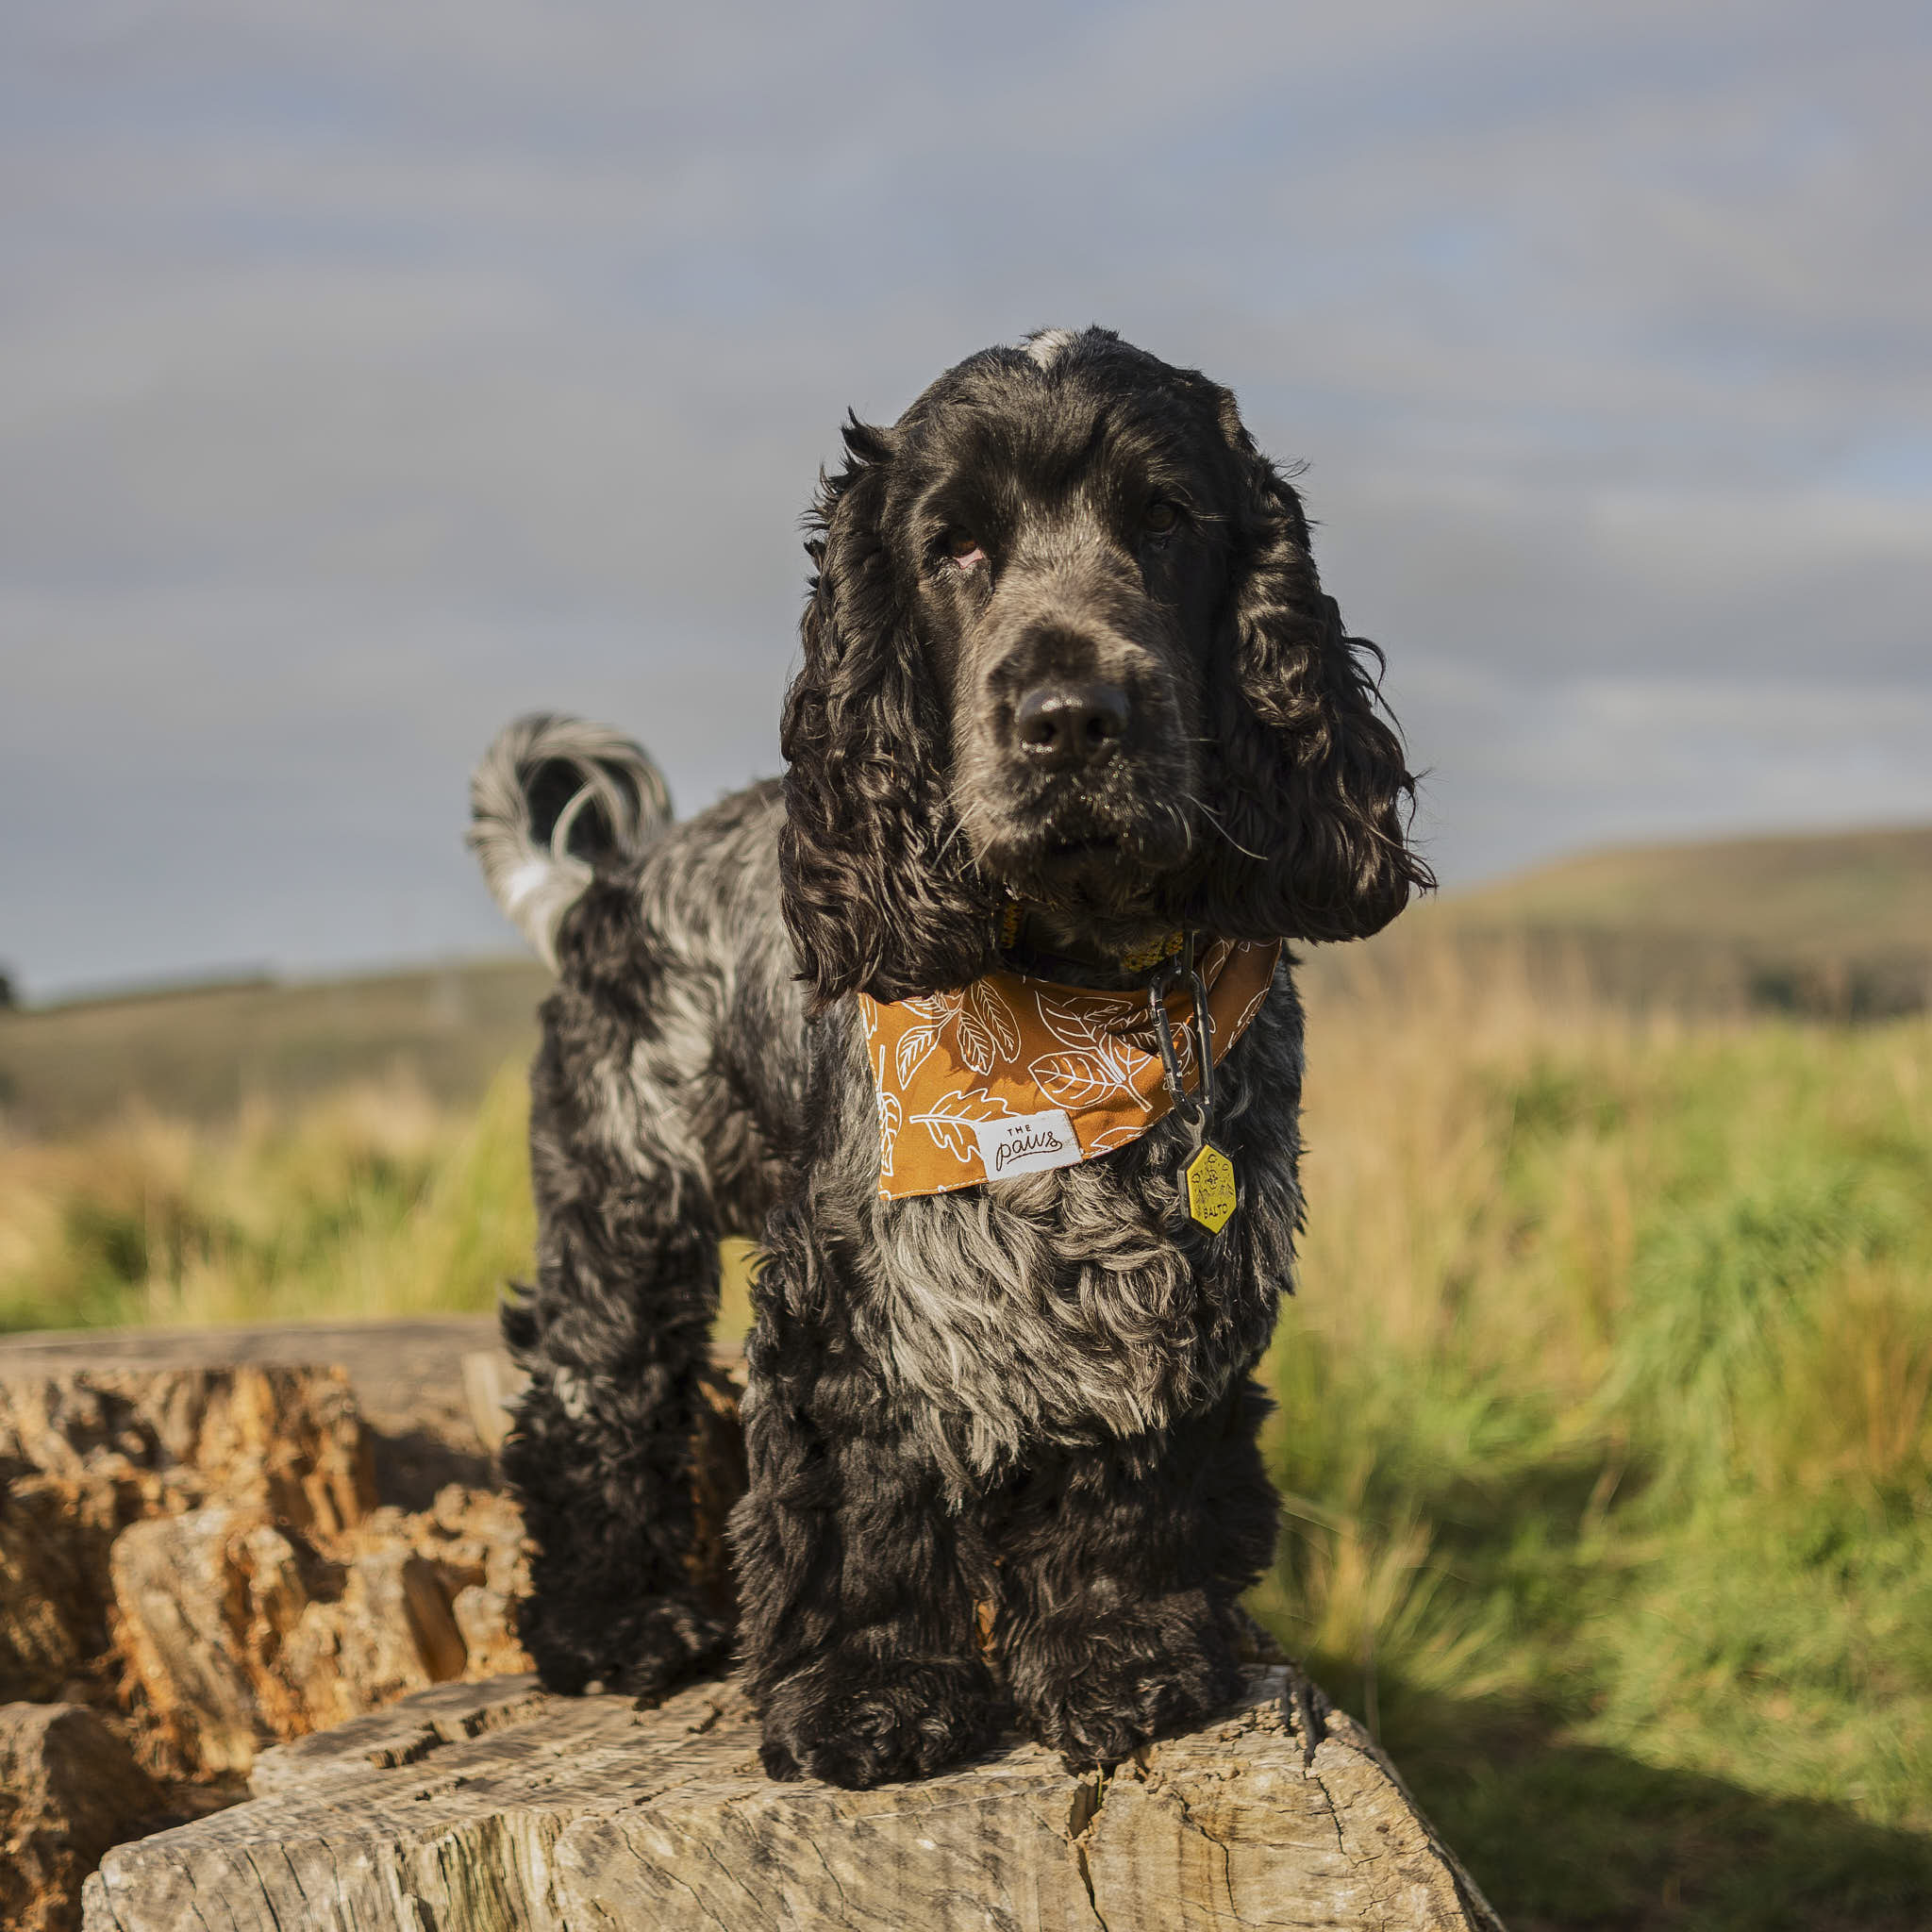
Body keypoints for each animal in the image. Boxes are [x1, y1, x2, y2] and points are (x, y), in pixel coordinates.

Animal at [469, 325, 1437, 1785]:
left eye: (1165, 519)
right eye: (953, 545)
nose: (1069, 715)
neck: (1077, 1003)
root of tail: (603, 894)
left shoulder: (1178, 1278)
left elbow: (1132, 1477)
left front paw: (1121, 1661)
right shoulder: (847, 1285)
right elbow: (857, 1495)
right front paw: (869, 1699)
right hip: (619, 1209)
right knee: (592, 1400)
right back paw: (613, 1624)